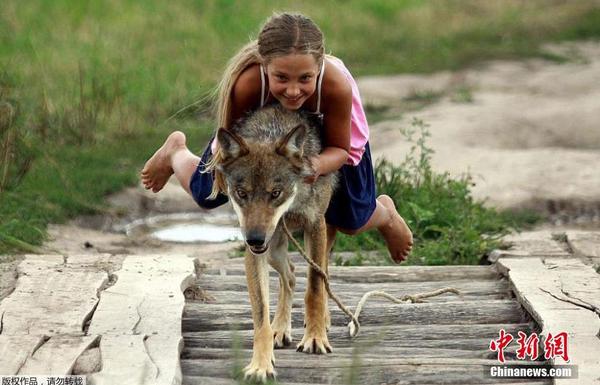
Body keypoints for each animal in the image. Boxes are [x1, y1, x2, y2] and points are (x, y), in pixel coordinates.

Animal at [216, 103, 338, 380]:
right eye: (242, 194)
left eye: (275, 193)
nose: (254, 238)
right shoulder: (256, 252)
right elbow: (260, 315)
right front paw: (260, 365)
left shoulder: (315, 224)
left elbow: (315, 288)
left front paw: (315, 339)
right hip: (273, 249)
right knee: (290, 275)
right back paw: (280, 329)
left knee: (321, 274)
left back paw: (322, 322)